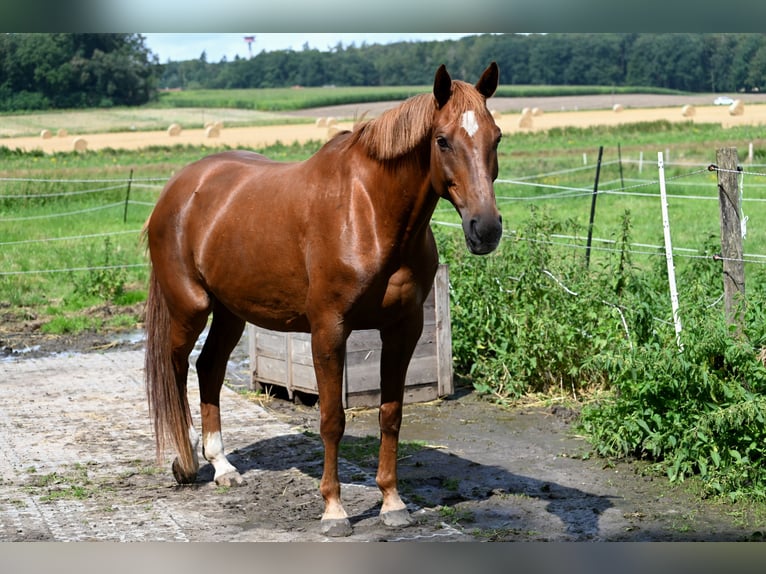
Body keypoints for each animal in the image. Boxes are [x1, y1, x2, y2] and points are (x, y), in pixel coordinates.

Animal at [144, 62, 504, 536]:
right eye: (442, 140)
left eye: (496, 136)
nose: (486, 229)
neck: (368, 211)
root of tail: (179, 188)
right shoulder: (329, 330)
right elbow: (332, 419)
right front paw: (334, 509)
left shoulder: (403, 329)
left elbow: (391, 413)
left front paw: (392, 502)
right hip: (190, 308)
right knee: (175, 369)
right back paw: (184, 464)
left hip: (231, 311)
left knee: (210, 368)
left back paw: (222, 466)